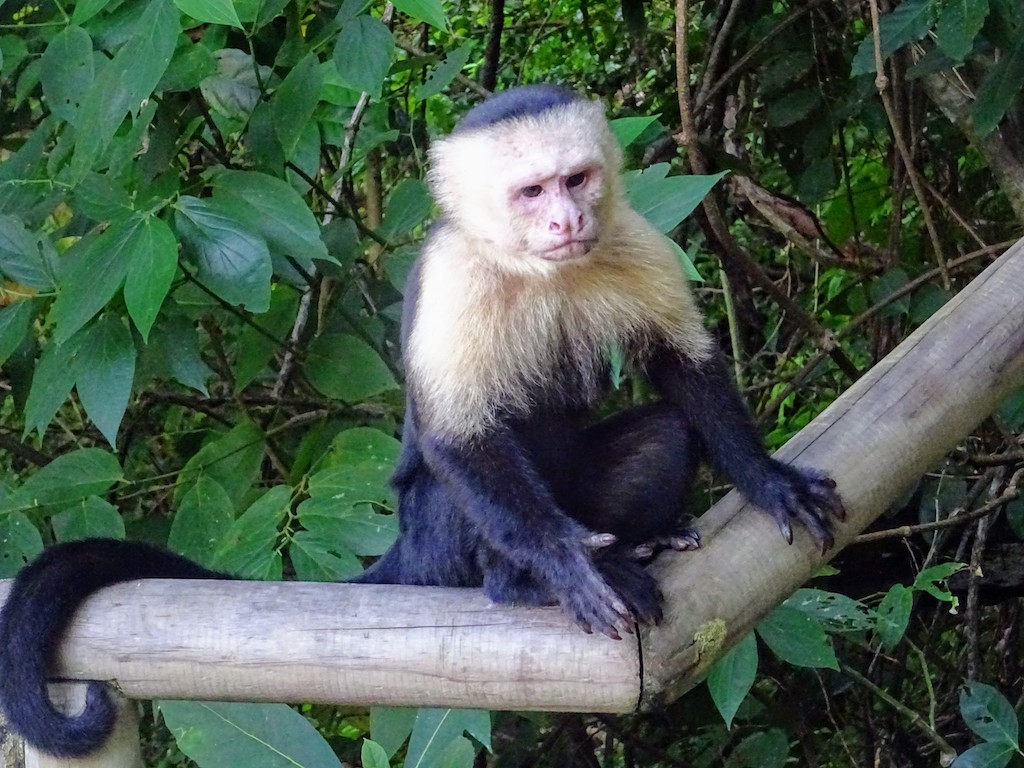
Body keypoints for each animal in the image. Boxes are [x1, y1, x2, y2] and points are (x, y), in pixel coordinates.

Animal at [0, 83, 843, 757]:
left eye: (575, 180)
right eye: (531, 192)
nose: (567, 219)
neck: (535, 267)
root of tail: (409, 550)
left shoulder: (634, 238)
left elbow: (683, 367)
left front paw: (769, 480)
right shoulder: (454, 275)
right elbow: (458, 438)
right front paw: (567, 565)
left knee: (663, 435)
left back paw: (642, 538)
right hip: (440, 543)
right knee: (462, 481)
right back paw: (522, 583)